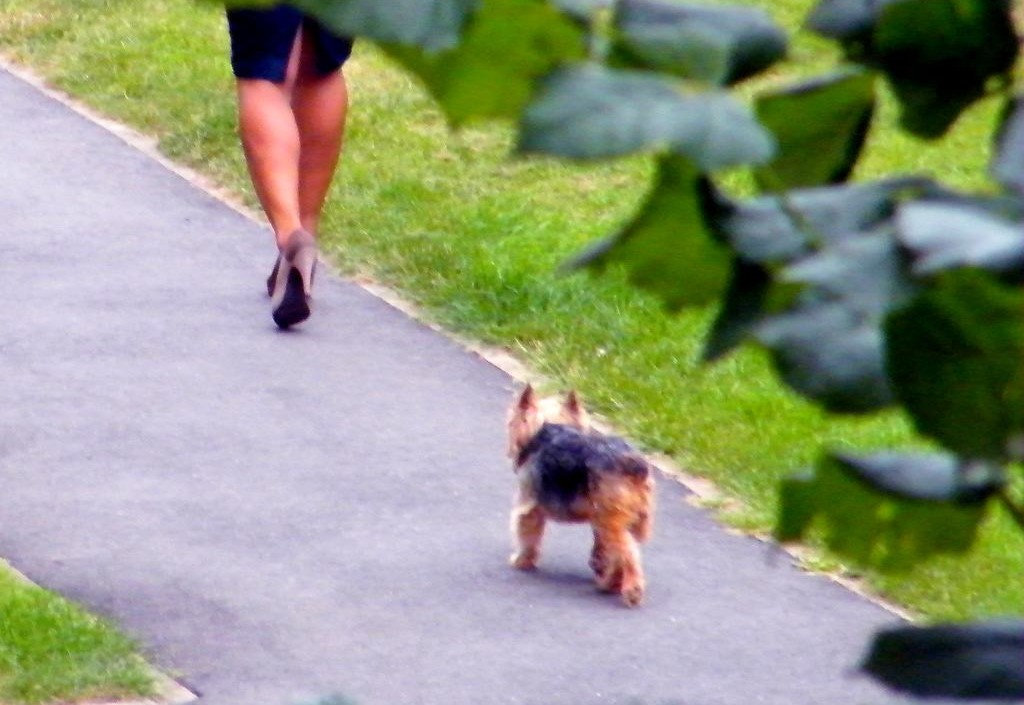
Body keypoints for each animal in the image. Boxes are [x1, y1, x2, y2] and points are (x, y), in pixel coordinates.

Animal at [505, 385, 655, 606]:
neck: (550, 428)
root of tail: (633, 465)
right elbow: (600, 548)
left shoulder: (529, 504)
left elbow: (527, 534)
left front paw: (522, 560)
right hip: (619, 517)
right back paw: (611, 583)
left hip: (611, 519)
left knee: (626, 553)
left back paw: (627, 589)